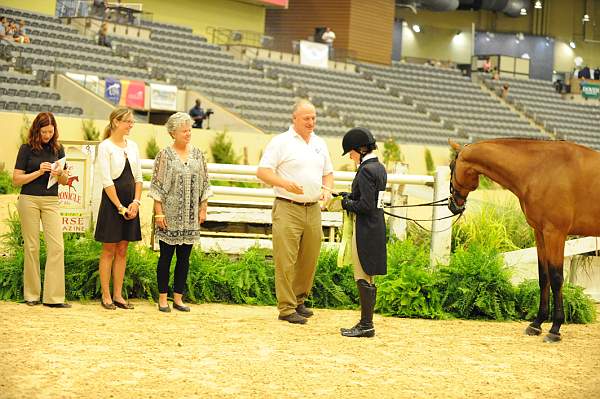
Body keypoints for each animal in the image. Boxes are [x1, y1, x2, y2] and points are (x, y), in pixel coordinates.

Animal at [448, 138, 596, 344]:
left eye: (451, 166)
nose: (452, 205)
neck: (541, 169)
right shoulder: (540, 233)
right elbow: (544, 277)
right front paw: (536, 324)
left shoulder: (555, 233)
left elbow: (556, 278)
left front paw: (555, 329)